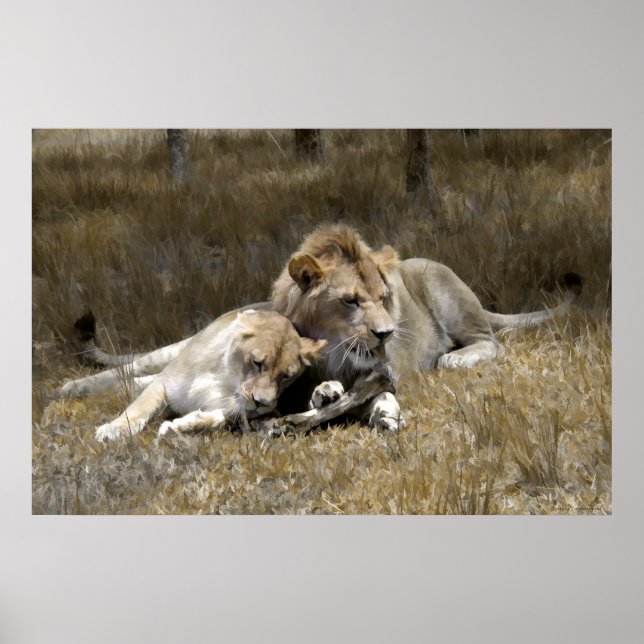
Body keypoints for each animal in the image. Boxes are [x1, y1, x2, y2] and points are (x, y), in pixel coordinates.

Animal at [90, 309, 326, 441]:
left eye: (287, 376)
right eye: (257, 362)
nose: (263, 403)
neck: (225, 379)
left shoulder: (238, 412)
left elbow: (219, 419)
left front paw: (181, 427)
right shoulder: (166, 382)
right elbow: (140, 405)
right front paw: (115, 429)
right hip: (165, 355)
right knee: (128, 368)